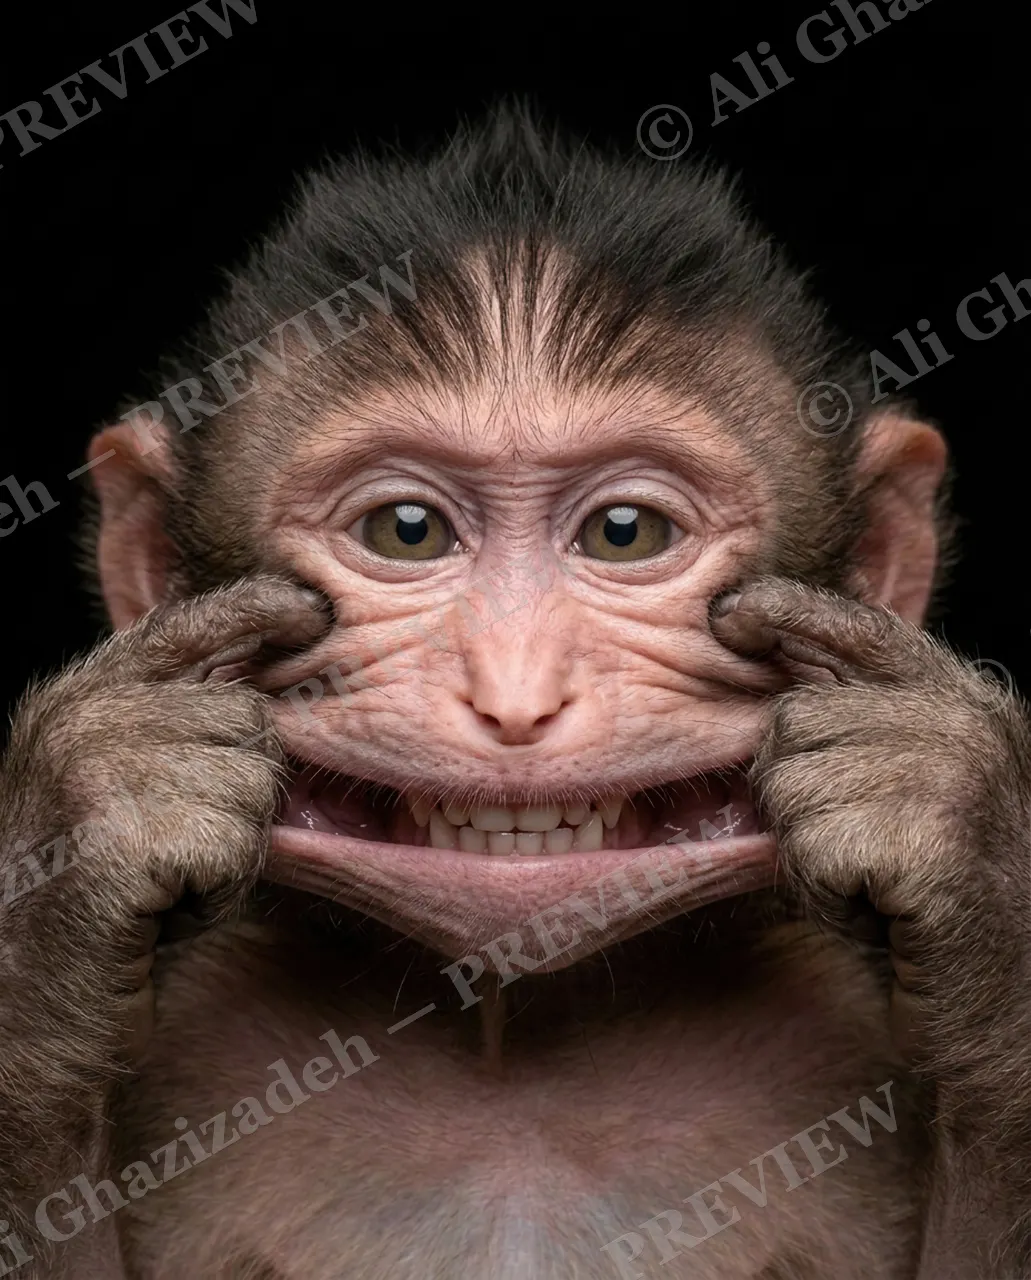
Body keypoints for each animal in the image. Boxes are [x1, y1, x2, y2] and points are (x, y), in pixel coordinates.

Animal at [0, 105, 1028, 1280]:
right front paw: (88, 834)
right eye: (406, 530)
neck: (512, 1045)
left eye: (625, 533)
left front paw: (956, 832)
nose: (515, 696)